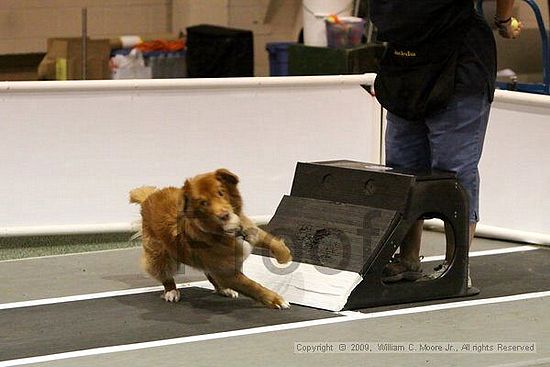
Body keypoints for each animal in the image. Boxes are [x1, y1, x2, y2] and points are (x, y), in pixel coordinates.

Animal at [130, 170, 294, 310]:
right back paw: (171, 291)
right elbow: (252, 286)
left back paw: (225, 290)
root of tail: (149, 197)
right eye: (203, 203)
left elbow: (272, 241)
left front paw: (284, 256)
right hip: (159, 254)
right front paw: (276, 300)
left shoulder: (249, 230)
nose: (224, 215)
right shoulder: (226, 272)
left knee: (210, 275)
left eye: (221, 193)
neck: (228, 232)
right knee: (165, 273)